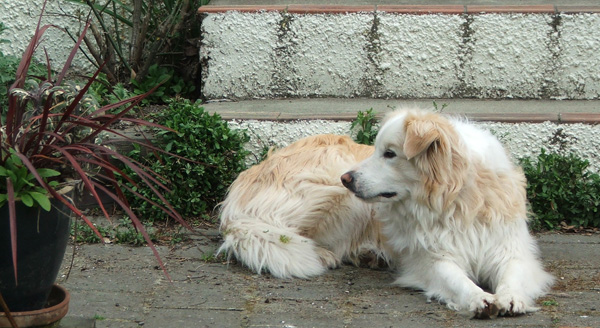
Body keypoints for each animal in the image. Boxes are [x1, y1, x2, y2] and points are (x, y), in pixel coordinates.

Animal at [342, 109, 552, 318]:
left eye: (389, 154)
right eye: (377, 150)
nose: (346, 179)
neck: (457, 200)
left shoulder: (509, 250)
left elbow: (512, 277)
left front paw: (511, 297)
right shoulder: (432, 259)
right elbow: (457, 280)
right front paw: (479, 297)